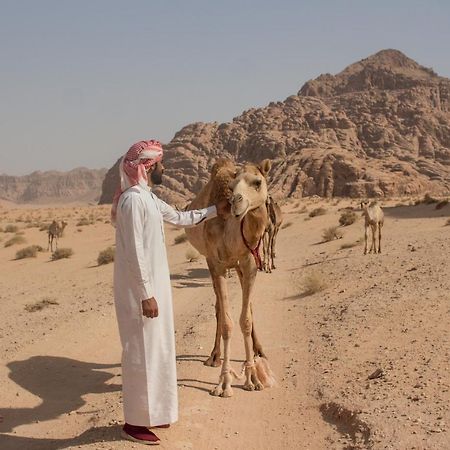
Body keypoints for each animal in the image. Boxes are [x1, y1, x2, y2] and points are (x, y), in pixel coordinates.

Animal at [185, 158, 276, 398]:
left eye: (257, 182)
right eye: (233, 186)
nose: (236, 202)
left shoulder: (249, 263)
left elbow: (246, 319)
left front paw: (253, 378)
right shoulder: (217, 264)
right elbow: (226, 322)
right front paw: (224, 383)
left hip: (237, 268)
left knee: (247, 308)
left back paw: (259, 350)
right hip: (212, 263)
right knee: (218, 307)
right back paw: (214, 356)